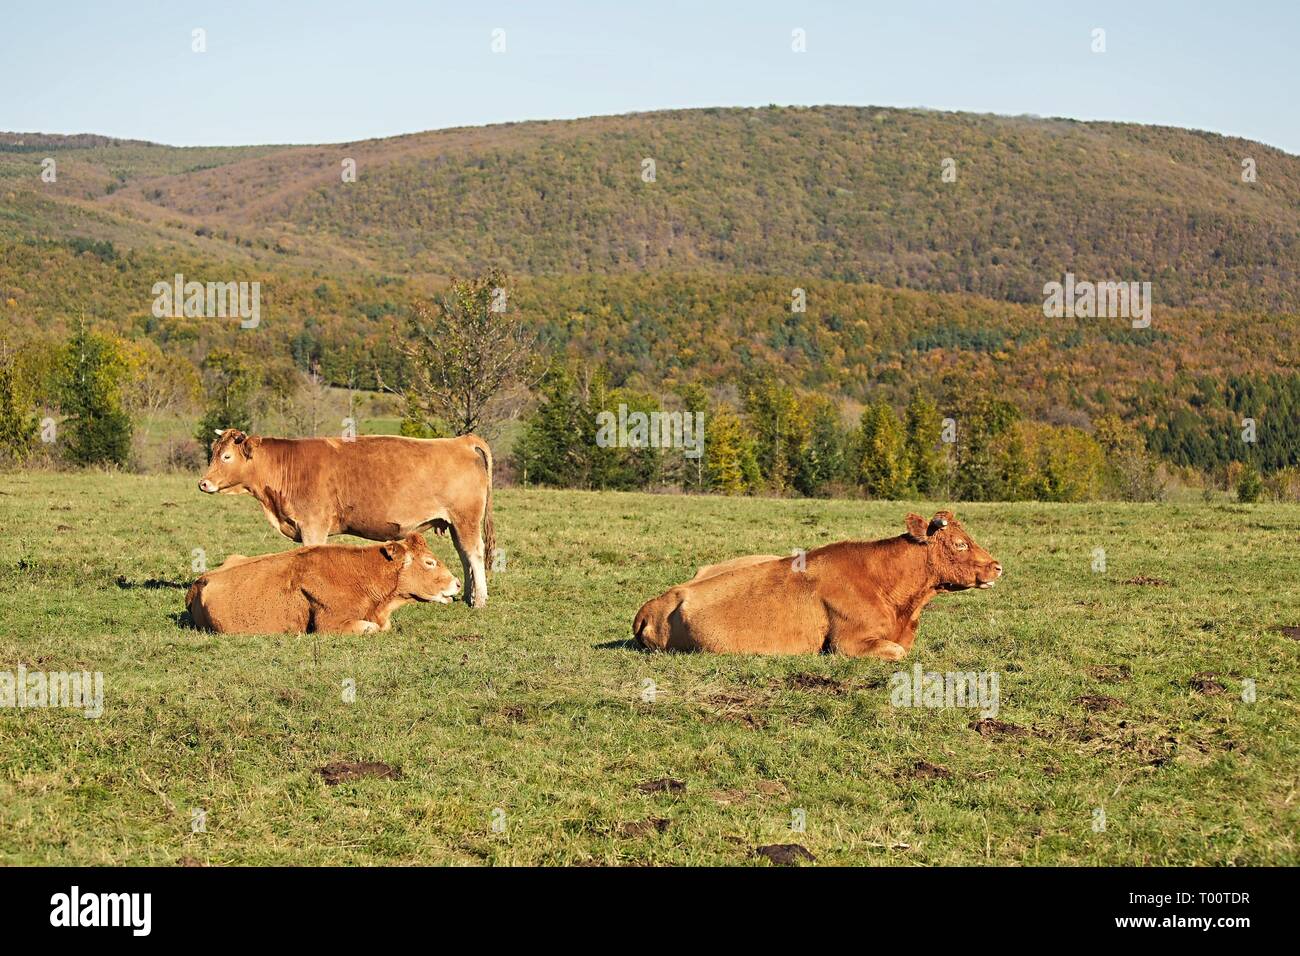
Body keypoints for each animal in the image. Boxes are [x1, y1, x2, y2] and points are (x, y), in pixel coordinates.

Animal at [196, 429, 491, 606]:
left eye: (226, 456)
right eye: (213, 454)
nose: (203, 483)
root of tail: (460, 441)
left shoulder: (312, 526)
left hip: (466, 519)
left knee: (474, 554)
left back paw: (479, 600)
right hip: (455, 523)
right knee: (464, 555)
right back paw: (467, 594)